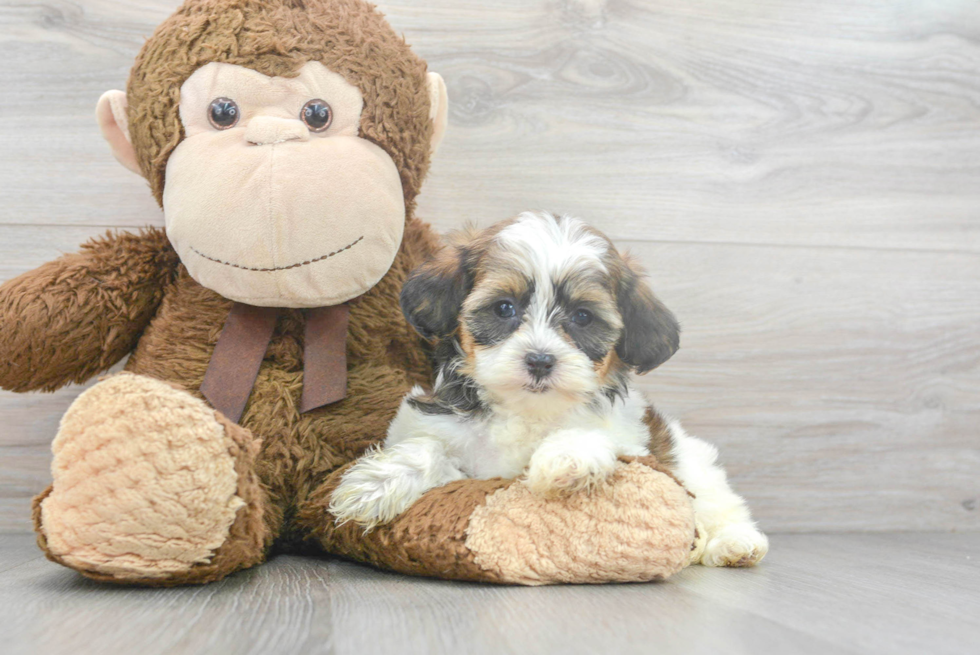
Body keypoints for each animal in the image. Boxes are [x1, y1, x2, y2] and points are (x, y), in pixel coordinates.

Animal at [334, 213, 768, 568]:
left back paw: (735, 544)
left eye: (583, 317)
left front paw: (563, 460)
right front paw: (375, 485)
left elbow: (591, 437)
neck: (526, 410)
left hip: (694, 465)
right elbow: (427, 448)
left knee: (719, 505)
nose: (541, 360)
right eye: (504, 308)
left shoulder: (633, 442)